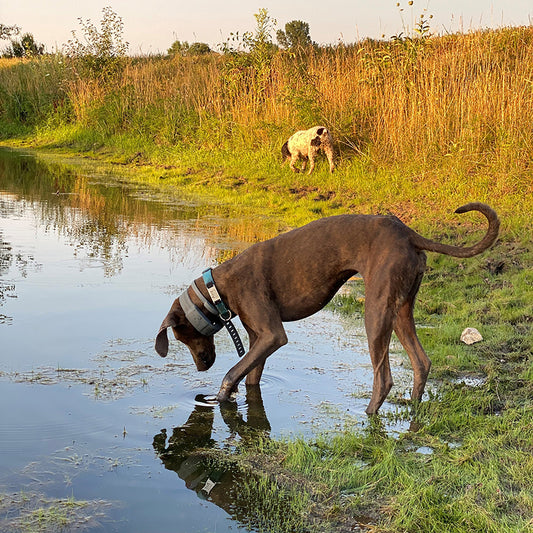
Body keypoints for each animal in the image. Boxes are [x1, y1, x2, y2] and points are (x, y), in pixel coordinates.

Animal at [155, 202, 498, 414]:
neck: (218, 288)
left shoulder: (273, 335)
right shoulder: (258, 340)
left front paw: (219, 398)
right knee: (421, 362)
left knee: (384, 378)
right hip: (400, 309)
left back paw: (366, 415)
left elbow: (231, 373)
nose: (202, 367)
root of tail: (408, 232)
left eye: (183, 337)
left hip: (375, 312)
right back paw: (412, 407)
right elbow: (250, 376)